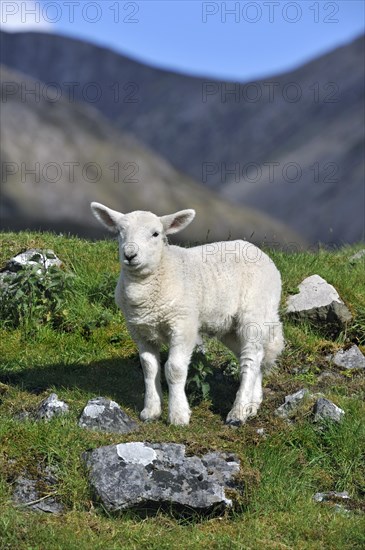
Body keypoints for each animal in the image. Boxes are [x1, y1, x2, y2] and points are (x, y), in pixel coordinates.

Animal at [89, 205, 282, 430]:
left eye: (156, 234)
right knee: (253, 356)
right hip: (229, 326)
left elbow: (174, 369)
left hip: (255, 311)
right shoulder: (139, 329)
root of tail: (258, 251)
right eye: (120, 232)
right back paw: (253, 404)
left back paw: (238, 413)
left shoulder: (183, 325)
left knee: (251, 358)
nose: (130, 254)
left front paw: (179, 415)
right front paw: (151, 411)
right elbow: (149, 368)